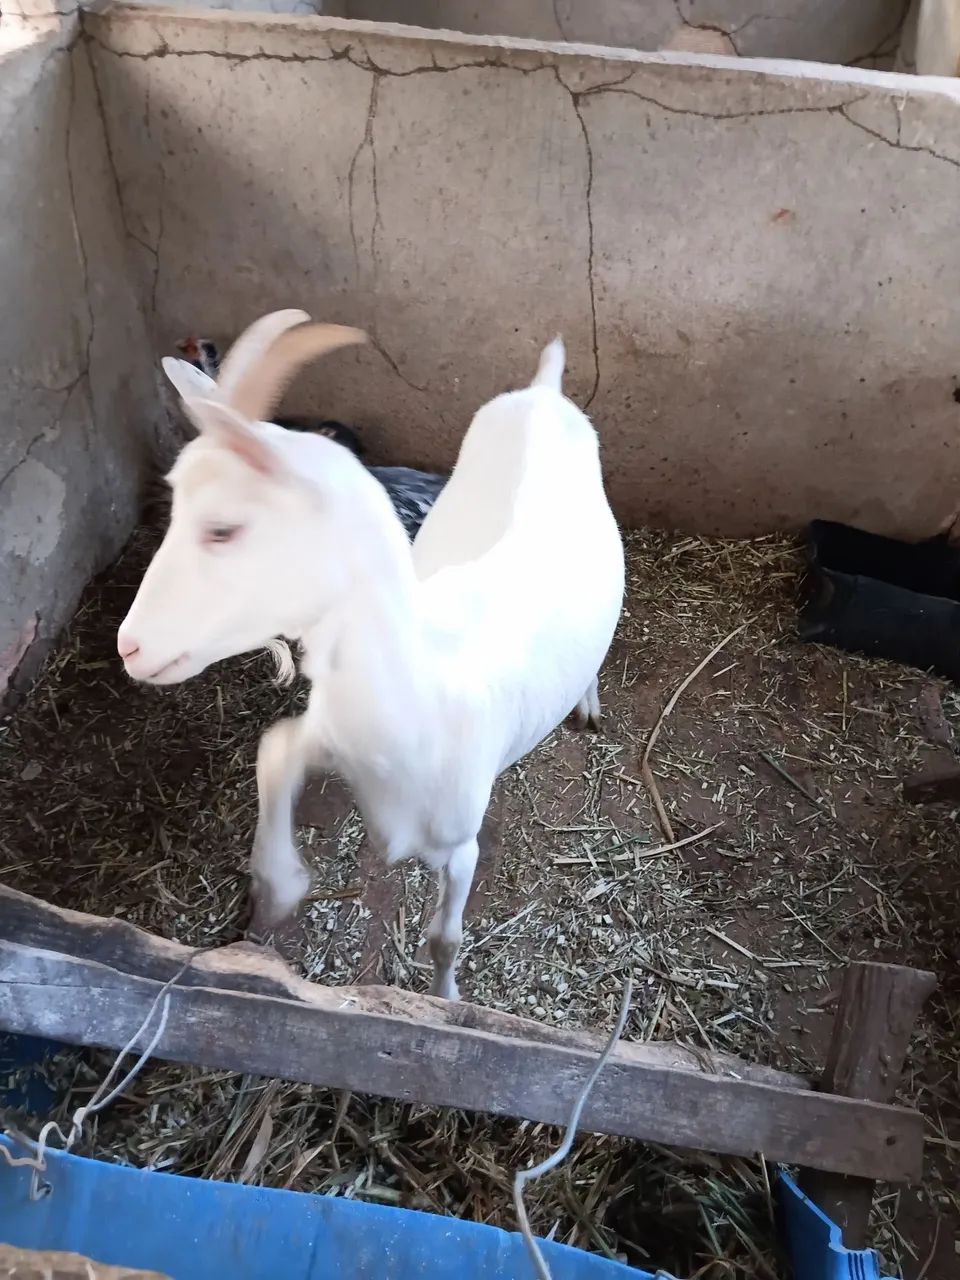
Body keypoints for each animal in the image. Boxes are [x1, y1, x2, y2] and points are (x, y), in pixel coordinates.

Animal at [117, 310, 625, 1000]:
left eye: (222, 529)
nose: (129, 645)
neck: (423, 683)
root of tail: (543, 391)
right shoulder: (334, 730)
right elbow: (276, 749)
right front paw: (280, 885)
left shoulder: (460, 841)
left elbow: (445, 939)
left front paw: (446, 1001)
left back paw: (588, 703)